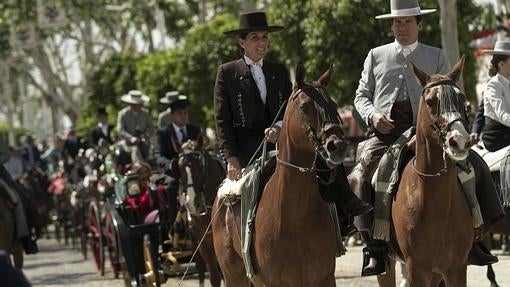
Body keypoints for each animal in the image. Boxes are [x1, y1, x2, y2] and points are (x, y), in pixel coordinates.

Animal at [178, 141, 224, 287]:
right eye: (179, 169)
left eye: (200, 167)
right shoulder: (203, 243)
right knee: (200, 267)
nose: (193, 203)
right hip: (194, 242)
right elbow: (215, 277)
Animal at [210, 65, 346, 287]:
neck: (296, 217)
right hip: (233, 275)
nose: (337, 146)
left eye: (334, 105)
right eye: (304, 107)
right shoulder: (272, 282)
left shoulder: (324, 278)